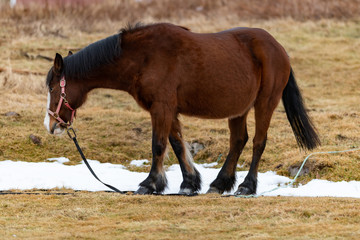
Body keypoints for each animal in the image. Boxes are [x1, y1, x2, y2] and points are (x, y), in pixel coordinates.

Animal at [43, 23, 320, 195]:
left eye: (53, 87)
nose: (52, 125)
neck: (144, 57)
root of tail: (278, 48)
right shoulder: (168, 110)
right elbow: (176, 144)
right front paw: (189, 183)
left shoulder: (161, 107)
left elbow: (158, 145)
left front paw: (150, 184)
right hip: (239, 109)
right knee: (238, 141)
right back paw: (220, 183)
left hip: (265, 103)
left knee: (258, 142)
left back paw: (246, 187)